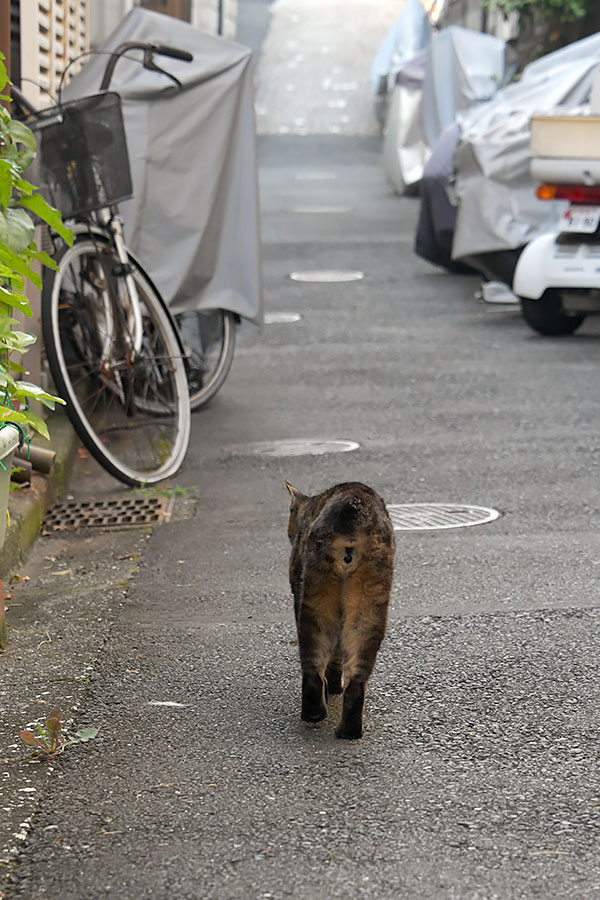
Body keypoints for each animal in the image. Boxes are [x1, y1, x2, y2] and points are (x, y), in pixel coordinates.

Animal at [284, 482, 396, 736]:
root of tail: (353, 505)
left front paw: (332, 687)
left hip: (315, 597)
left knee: (313, 666)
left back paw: (313, 713)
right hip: (370, 603)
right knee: (356, 677)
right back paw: (349, 730)